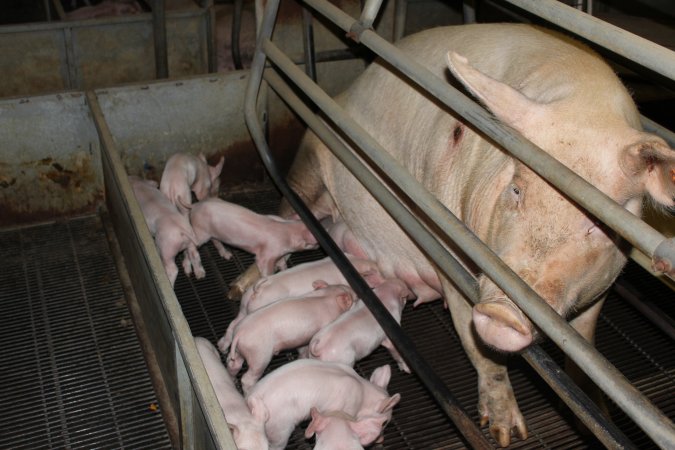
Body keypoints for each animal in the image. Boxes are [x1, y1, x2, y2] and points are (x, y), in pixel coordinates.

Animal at [256, 24, 672, 446]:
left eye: (598, 225)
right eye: (517, 189)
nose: (502, 310)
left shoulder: (602, 287)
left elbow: (584, 346)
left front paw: (592, 414)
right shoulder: (449, 250)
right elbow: (480, 349)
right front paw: (505, 435)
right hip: (309, 160)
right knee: (286, 210)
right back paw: (248, 282)